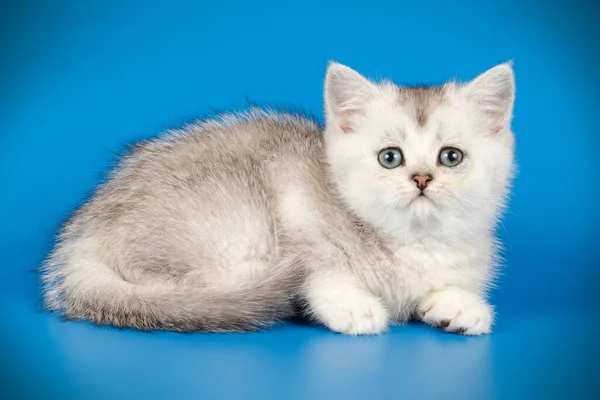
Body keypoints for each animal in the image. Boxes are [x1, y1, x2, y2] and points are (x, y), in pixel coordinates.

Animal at [41, 62, 516, 336]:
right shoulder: (296, 207)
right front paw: (354, 306)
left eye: (450, 156)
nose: (421, 179)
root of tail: (81, 237)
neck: (413, 244)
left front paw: (461, 306)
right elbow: (319, 273)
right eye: (390, 157)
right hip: (238, 230)